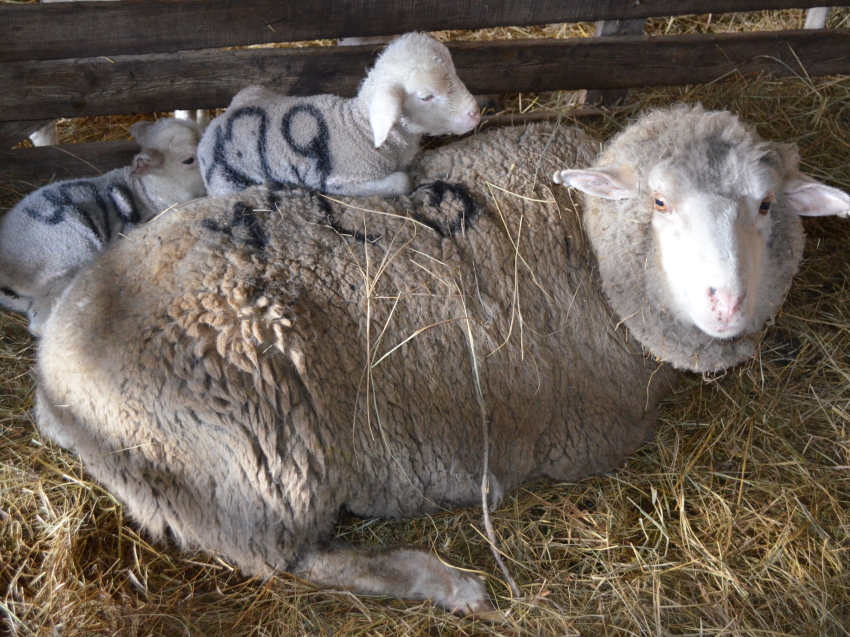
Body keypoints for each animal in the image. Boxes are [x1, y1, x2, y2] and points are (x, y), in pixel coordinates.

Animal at [34, 105, 848, 616]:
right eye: (658, 202)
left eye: (767, 205)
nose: (726, 303)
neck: (587, 245)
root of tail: (53, 375)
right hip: (249, 470)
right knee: (294, 560)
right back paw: (445, 581)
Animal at [195, 29, 480, 198]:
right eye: (426, 96)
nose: (475, 113)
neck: (361, 128)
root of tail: (215, 125)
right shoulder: (342, 181)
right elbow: (402, 182)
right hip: (226, 183)